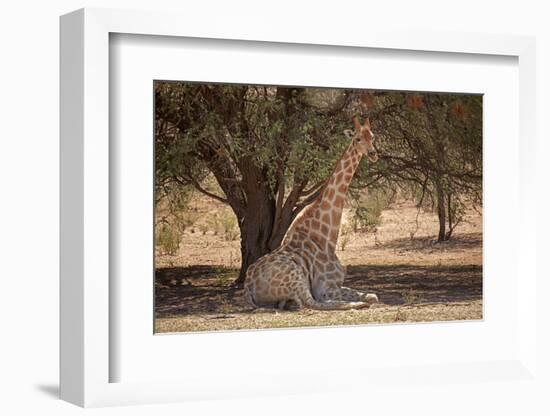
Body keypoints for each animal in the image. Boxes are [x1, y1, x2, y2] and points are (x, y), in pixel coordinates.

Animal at [244, 116, 382, 308]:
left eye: (372, 136)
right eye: (357, 139)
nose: (373, 154)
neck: (326, 237)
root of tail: (248, 286)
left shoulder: (338, 285)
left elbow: (372, 295)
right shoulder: (325, 288)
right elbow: (355, 299)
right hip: (296, 275)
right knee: (314, 304)